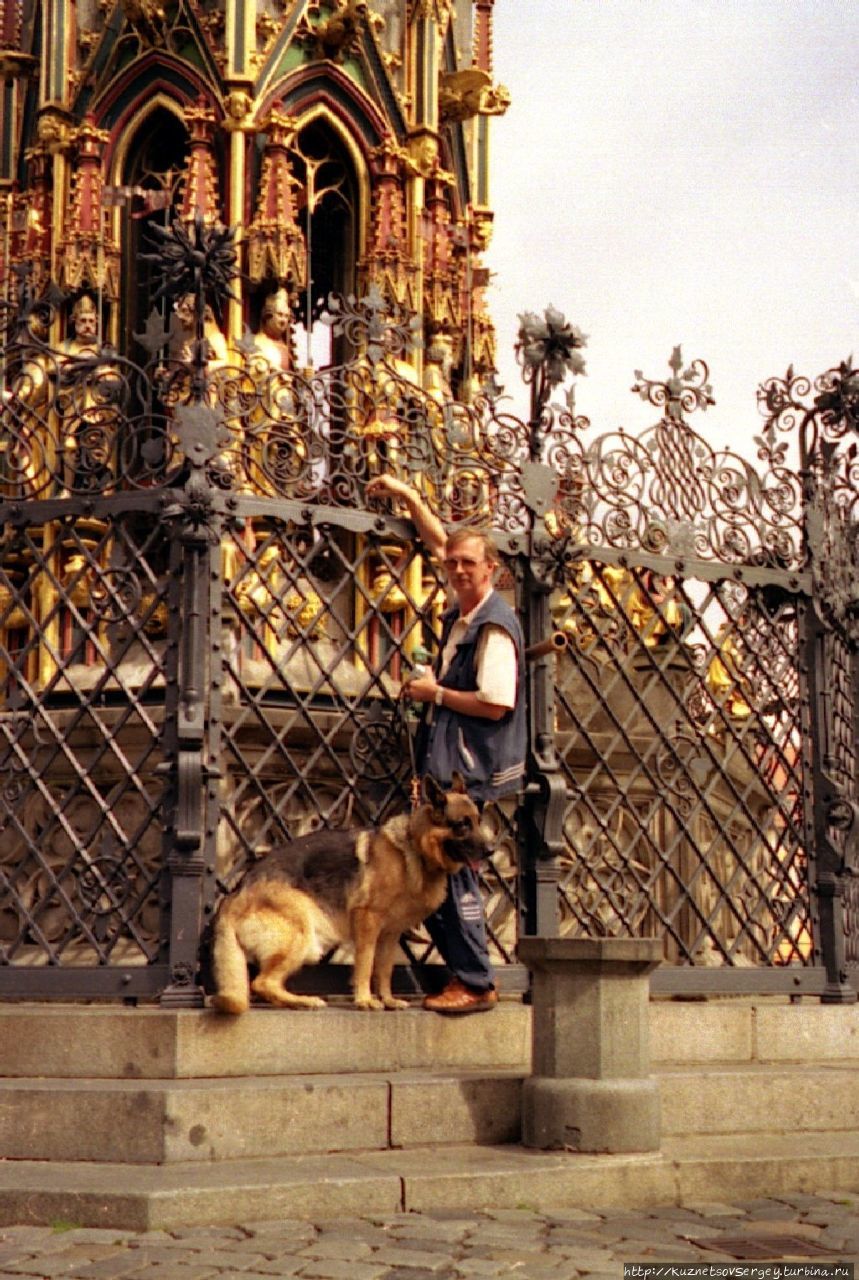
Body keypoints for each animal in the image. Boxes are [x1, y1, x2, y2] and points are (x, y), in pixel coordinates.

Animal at [211, 773, 486, 1013]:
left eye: (478, 821)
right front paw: (364, 1000)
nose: (491, 849)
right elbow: (365, 964)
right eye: (462, 825)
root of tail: (233, 896)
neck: (414, 848)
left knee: (264, 984)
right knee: (261, 983)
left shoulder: (390, 934)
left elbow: (384, 969)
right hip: (303, 933)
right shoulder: (368, 921)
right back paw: (304, 1001)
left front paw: (387, 999)